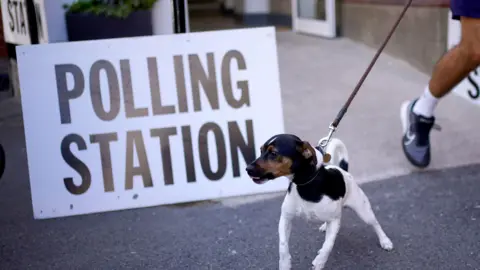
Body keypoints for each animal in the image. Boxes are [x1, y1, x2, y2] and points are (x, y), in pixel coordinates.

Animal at [246, 134, 392, 270]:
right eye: (260, 151)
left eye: (273, 153)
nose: (247, 169)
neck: (305, 184)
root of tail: (343, 170)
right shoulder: (286, 218)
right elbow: (282, 245)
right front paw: (285, 263)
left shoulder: (334, 220)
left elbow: (328, 245)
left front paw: (320, 261)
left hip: (363, 211)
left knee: (375, 224)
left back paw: (385, 241)